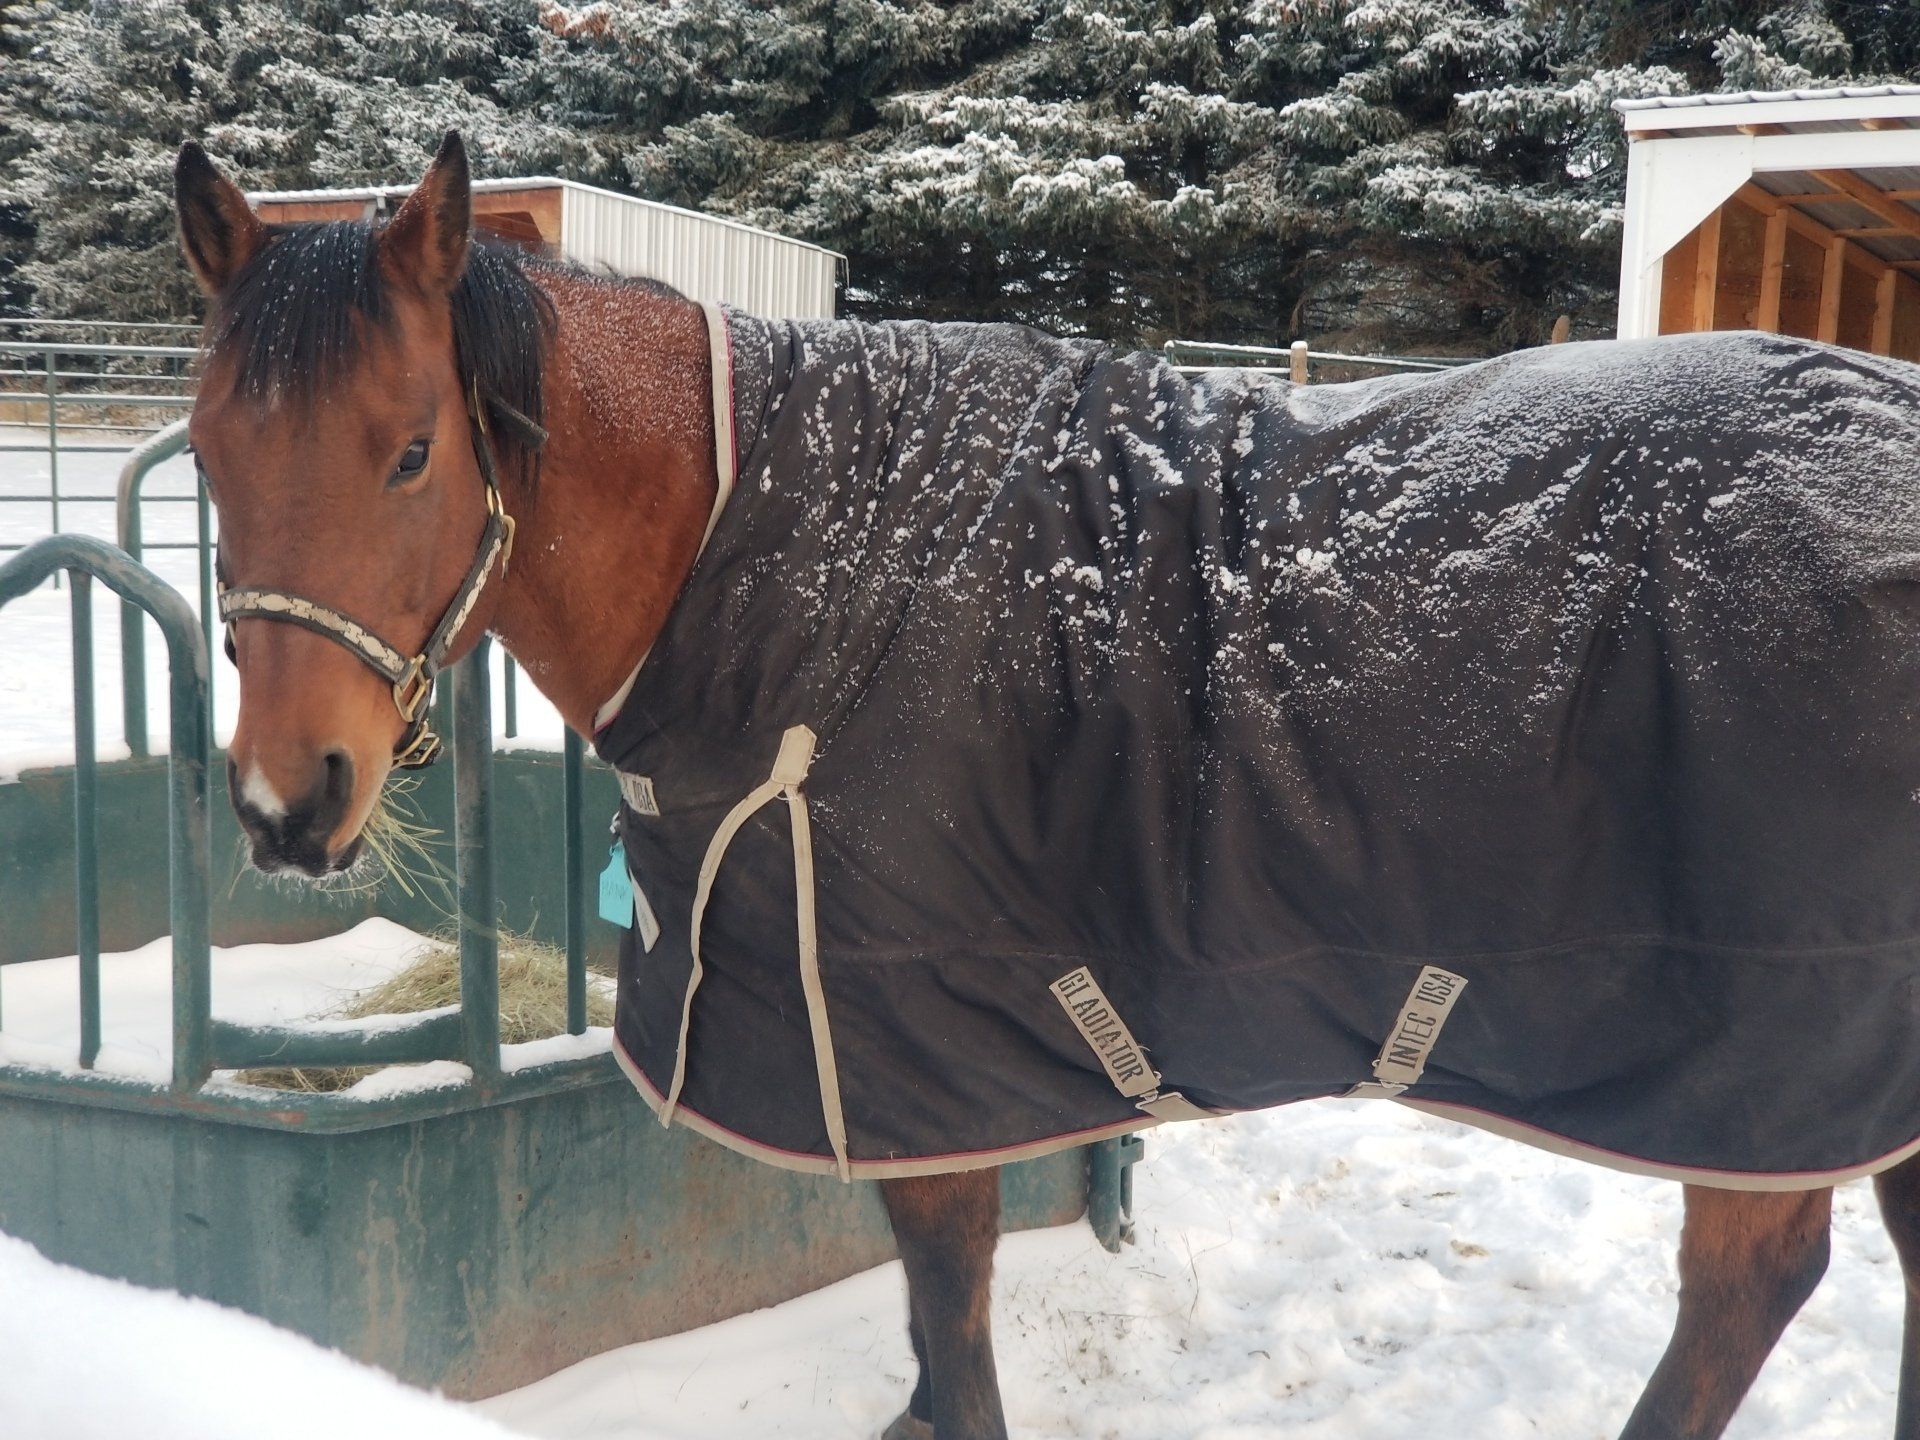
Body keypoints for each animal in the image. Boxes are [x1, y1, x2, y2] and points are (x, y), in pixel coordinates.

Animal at [174, 132, 1920, 1440]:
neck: (759, 540)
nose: (286, 804)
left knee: (1752, 1284)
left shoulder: (906, 1052)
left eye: (411, 451)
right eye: (201, 455)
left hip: (1758, 1068)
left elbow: (950, 1321)